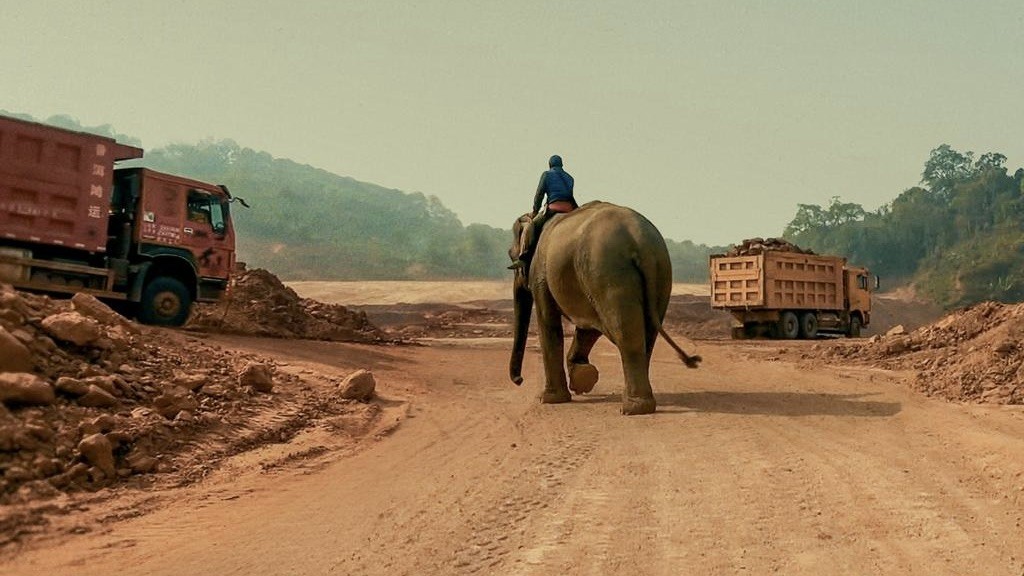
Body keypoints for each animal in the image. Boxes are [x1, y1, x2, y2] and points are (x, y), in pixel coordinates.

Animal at [508, 201, 701, 415]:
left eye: (511, 255)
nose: (519, 380)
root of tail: (642, 242)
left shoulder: (540, 274)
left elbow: (549, 321)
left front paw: (549, 398)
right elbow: (589, 328)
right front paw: (582, 380)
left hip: (609, 273)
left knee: (624, 333)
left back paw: (632, 408)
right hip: (660, 274)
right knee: (646, 334)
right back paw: (636, 401)